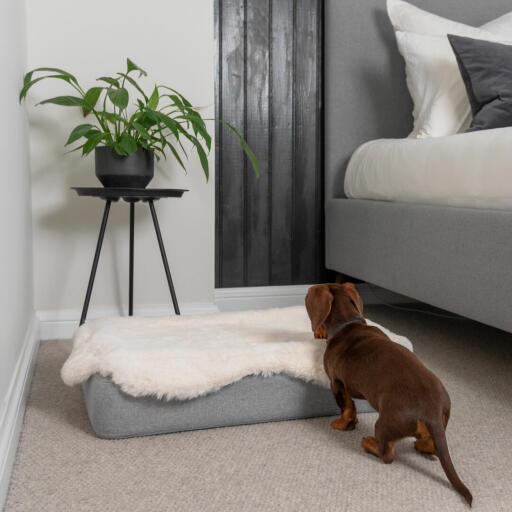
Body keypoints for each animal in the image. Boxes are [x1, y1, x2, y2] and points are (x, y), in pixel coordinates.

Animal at [304, 282, 472, 506]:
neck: (348, 324)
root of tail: (431, 413)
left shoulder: (336, 383)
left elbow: (346, 407)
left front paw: (342, 424)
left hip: (383, 425)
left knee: (388, 455)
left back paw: (368, 443)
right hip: (437, 425)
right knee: (429, 445)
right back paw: (421, 445)